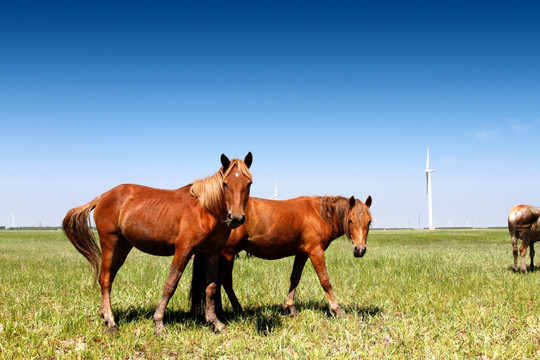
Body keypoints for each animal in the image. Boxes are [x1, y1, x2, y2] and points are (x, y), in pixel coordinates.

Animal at [63, 150, 253, 334]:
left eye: (249, 183)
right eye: (225, 184)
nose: (236, 218)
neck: (205, 208)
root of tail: (101, 197)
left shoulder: (211, 253)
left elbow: (211, 287)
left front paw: (216, 323)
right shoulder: (183, 249)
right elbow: (171, 284)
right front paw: (159, 324)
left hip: (123, 246)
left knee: (108, 278)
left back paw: (105, 316)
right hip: (110, 242)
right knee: (105, 279)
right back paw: (111, 322)